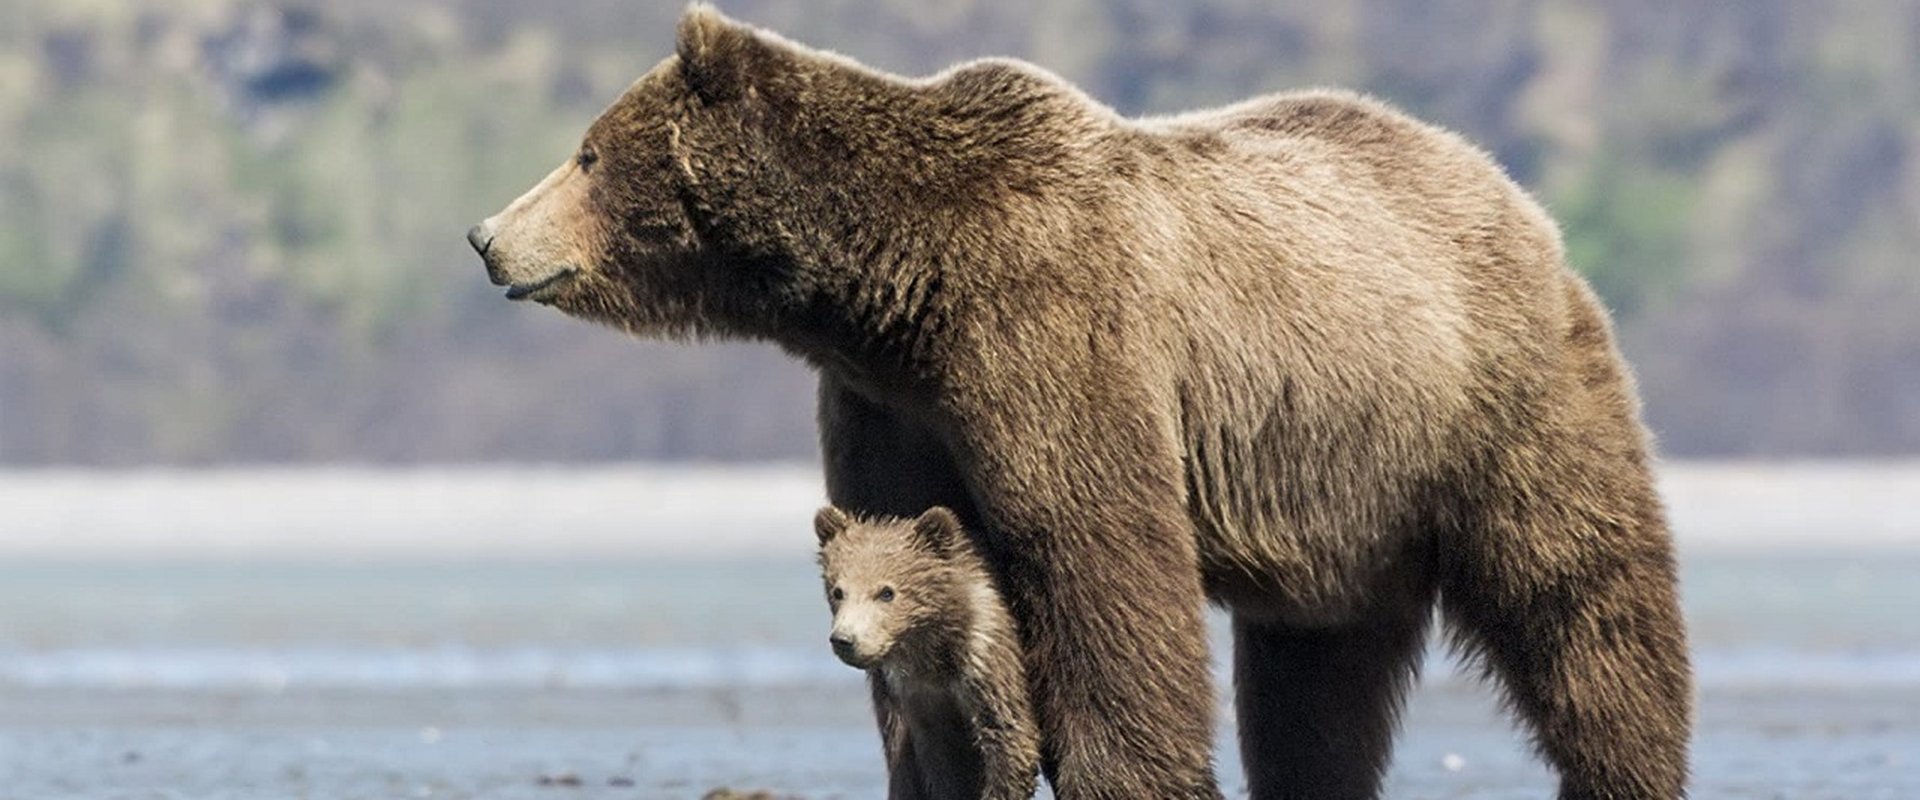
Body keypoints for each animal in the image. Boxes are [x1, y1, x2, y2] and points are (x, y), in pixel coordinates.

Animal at [814, 505, 1039, 800]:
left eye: (886, 592)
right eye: (838, 591)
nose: (845, 639)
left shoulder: (985, 659)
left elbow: (1009, 735)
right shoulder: (921, 696)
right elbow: (943, 762)